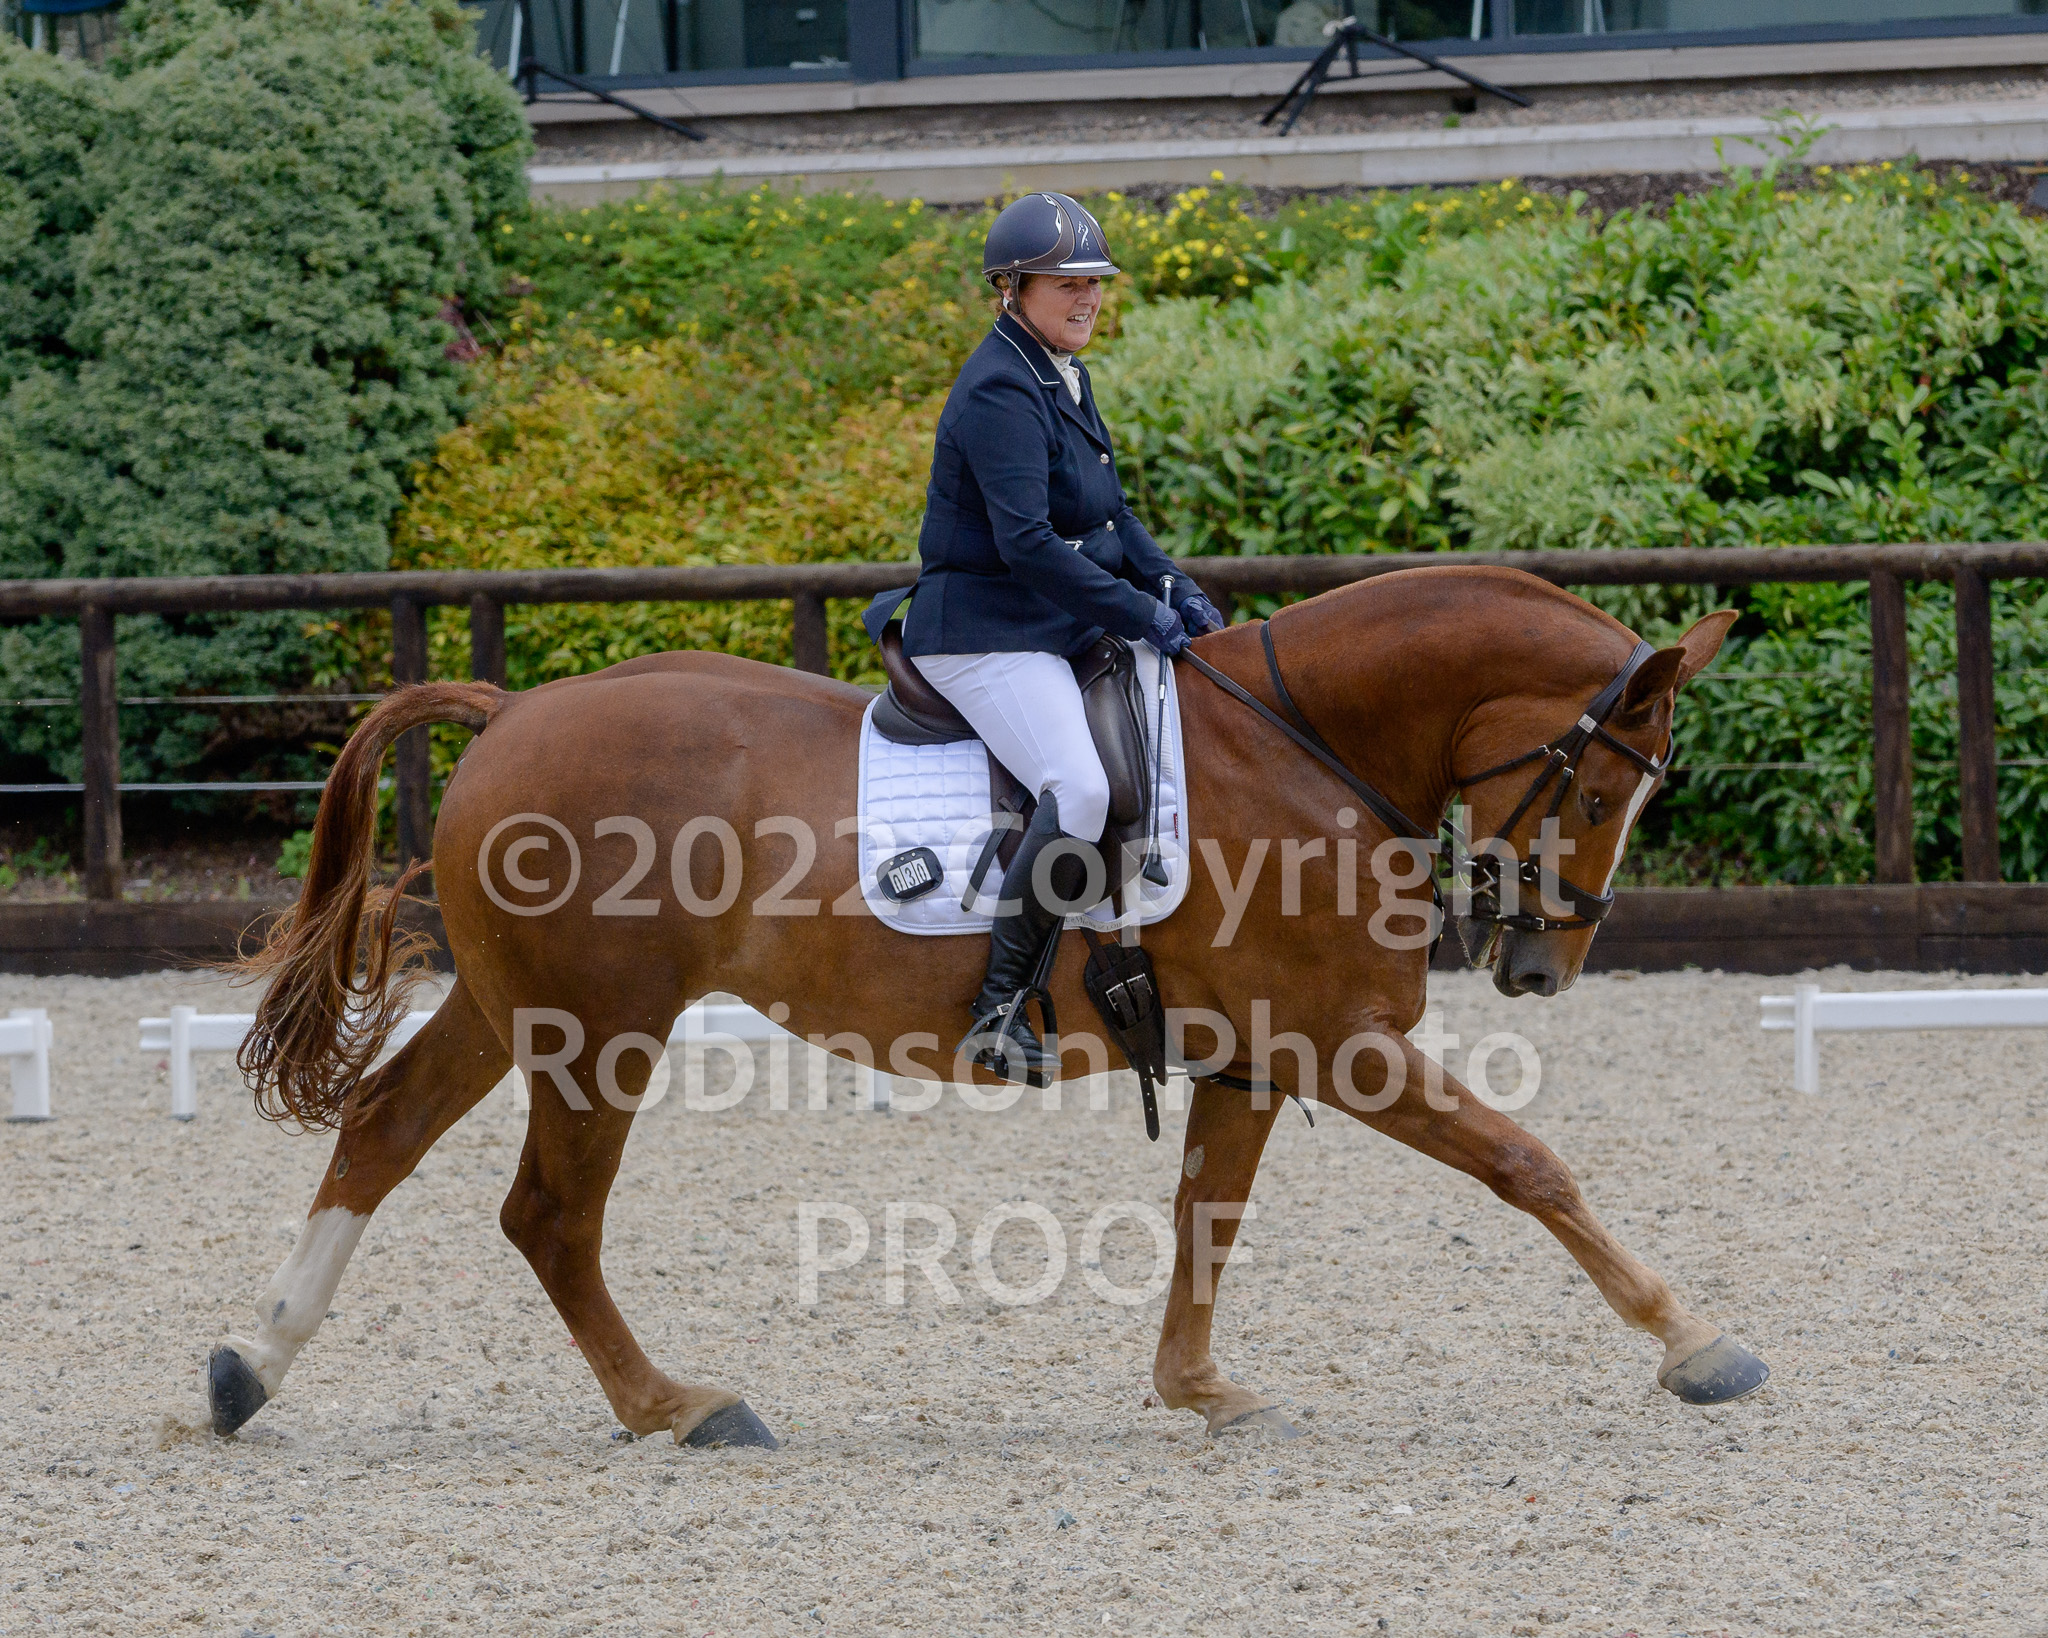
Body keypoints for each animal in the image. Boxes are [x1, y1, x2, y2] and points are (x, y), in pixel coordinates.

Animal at [204, 564, 1767, 1447]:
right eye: (1606, 790)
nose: (1539, 970)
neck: (1302, 751)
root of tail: (513, 710)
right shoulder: (1345, 1045)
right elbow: (1528, 1164)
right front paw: (1694, 1343)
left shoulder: (1254, 1053)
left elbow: (1207, 1214)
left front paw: (1196, 1388)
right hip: (597, 1035)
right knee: (547, 1214)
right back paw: (678, 1408)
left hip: (515, 1009)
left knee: (383, 1131)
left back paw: (248, 1367)